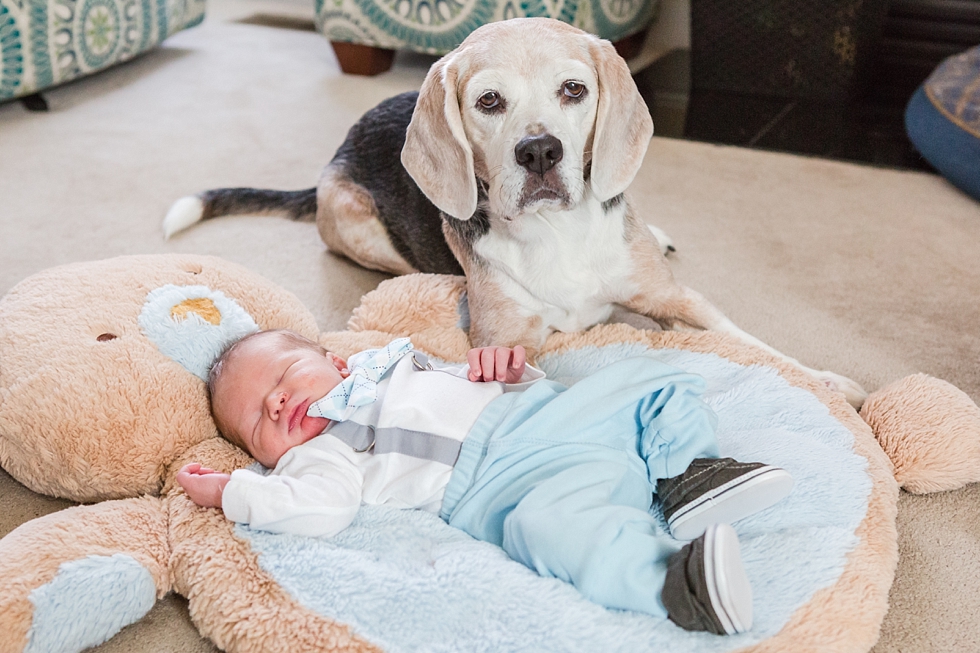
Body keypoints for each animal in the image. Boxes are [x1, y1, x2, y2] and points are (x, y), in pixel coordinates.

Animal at [165, 17, 868, 404]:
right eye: (489, 102)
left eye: (574, 90)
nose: (538, 152)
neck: (560, 232)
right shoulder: (508, 339)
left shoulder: (680, 298)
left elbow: (756, 344)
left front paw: (829, 382)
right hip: (353, 220)